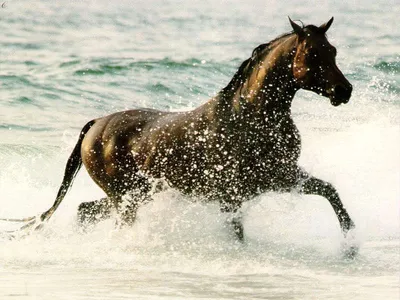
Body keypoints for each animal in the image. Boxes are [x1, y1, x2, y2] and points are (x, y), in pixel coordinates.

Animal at [4, 15, 354, 241]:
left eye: (333, 51)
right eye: (312, 53)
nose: (344, 91)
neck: (249, 117)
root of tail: (95, 126)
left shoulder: (280, 176)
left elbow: (330, 191)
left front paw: (351, 242)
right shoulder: (235, 194)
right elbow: (238, 232)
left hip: (134, 195)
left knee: (84, 210)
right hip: (125, 198)